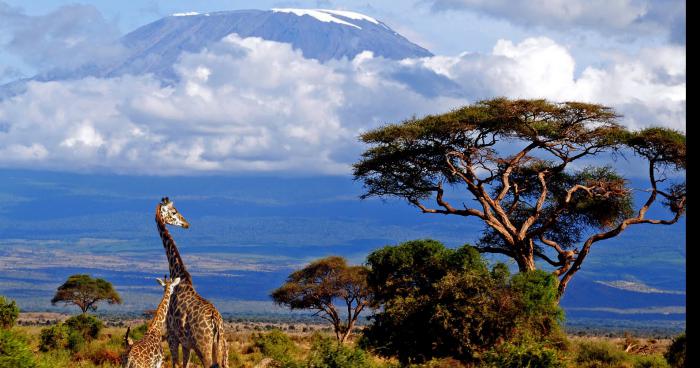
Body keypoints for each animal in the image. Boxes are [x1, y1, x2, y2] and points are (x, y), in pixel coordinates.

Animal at [155, 197, 227, 368]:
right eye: (174, 212)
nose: (186, 224)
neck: (179, 275)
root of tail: (216, 322)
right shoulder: (186, 343)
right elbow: (184, 364)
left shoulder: (172, 336)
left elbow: (176, 364)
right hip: (221, 347)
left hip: (203, 347)